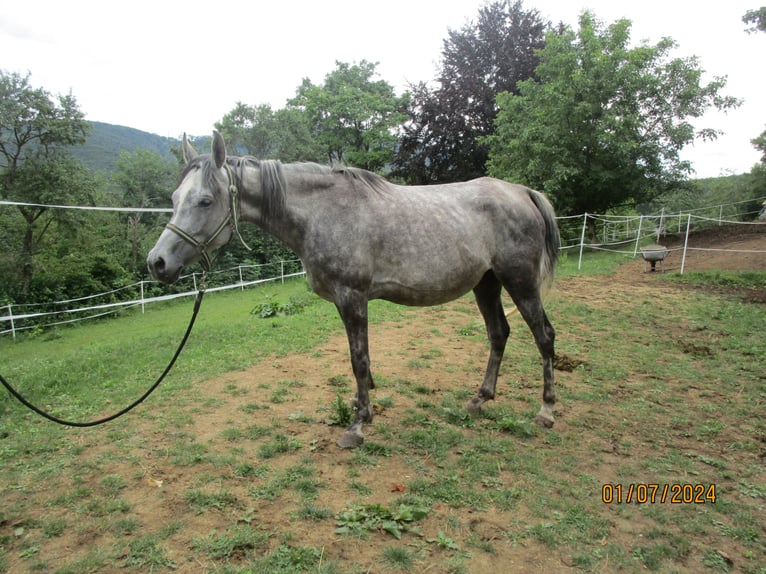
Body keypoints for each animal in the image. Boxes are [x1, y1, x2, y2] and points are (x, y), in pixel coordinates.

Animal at [147, 132, 560, 450]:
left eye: (205, 200)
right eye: (174, 198)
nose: (157, 262)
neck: (322, 212)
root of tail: (523, 192)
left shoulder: (353, 297)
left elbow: (358, 359)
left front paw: (358, 424)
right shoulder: (343, 301)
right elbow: (358, 360)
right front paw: (362, 405)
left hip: (520, 282)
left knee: (544, 336)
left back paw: (546, 410)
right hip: (486, 284)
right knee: (499, 334)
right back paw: (479, 399)